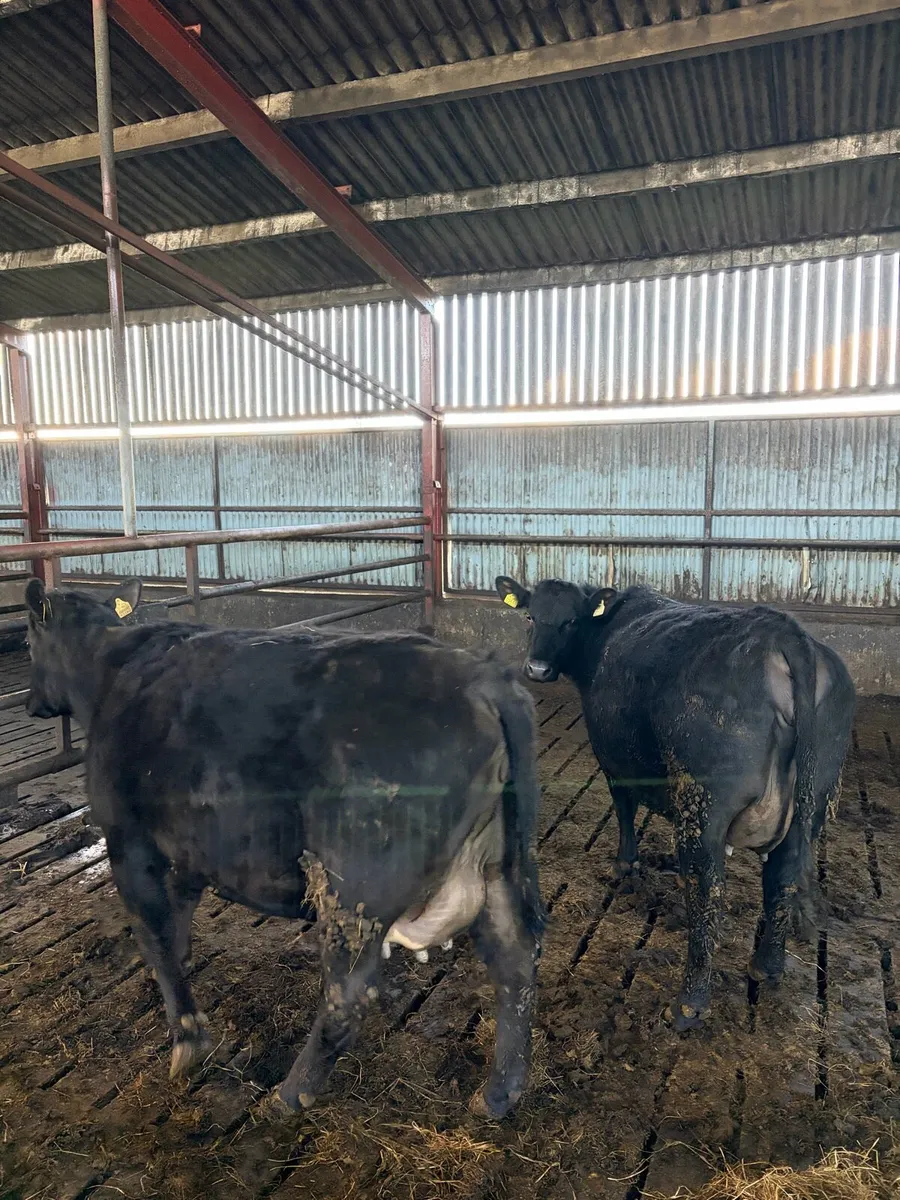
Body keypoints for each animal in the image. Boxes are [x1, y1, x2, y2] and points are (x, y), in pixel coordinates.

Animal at [24, 578, 545, 1119]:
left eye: (27, 640)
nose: (32, 701)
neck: (111, 669)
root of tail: (484, 677)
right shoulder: (190, 852)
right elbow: (178, 931)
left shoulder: (127, 838)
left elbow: (153, 935)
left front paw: (187, 1039)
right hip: (499, 861)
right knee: (515, 956)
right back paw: (500, 1092)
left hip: (356, 883)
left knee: (347, 993)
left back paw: (289, 1095)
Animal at [495, 575, 855, 1031]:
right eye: (529, 615)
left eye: (570, 621)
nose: (537, 669)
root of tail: (782, 631)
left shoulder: (613, 756)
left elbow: (624, 808)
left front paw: (625, 864)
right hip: (813, 798)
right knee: (783, 876)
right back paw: (767, 966)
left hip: (705, 804)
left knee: (708, 885)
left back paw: (688, 1003)